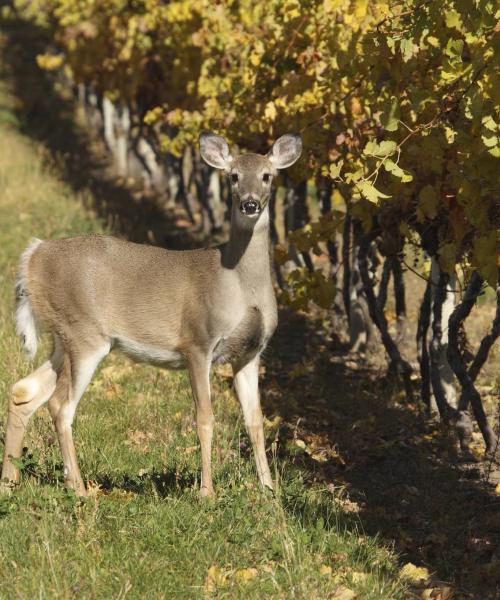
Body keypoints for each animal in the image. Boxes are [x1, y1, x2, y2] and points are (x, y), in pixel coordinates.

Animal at [0, 134, 300, 500]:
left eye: (268, 176)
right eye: (233, 177)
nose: (250, 204)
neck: (239, 284)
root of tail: (33, 256)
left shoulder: (251, 353)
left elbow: (255, 422)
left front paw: (269, 492)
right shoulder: (197, 342)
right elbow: (205, 418)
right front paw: (206, 493)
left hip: (64, 336)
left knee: (24, 391)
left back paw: (9, 483)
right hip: (83, 333)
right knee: (60, 405)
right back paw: (79, 489)